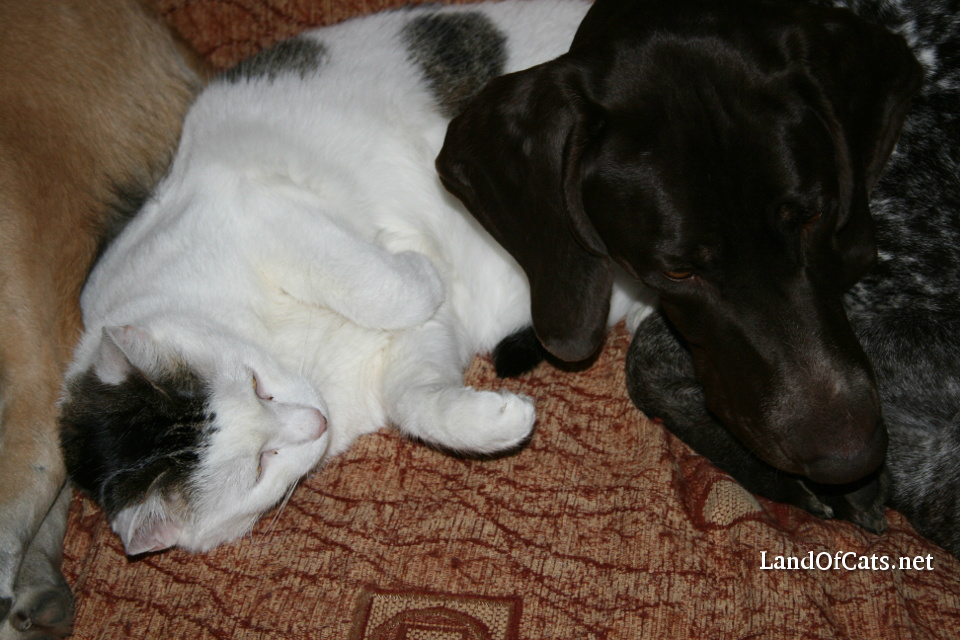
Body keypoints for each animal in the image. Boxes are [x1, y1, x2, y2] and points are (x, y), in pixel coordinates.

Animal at [58, 0, 644, 556]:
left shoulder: (262, 209)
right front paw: (494, 420)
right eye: (261, 464)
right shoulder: (409, 350)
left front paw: (421, 265)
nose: (314, 421)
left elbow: (385, 288)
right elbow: (414, 398)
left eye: (255, 384)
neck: (296, 351)